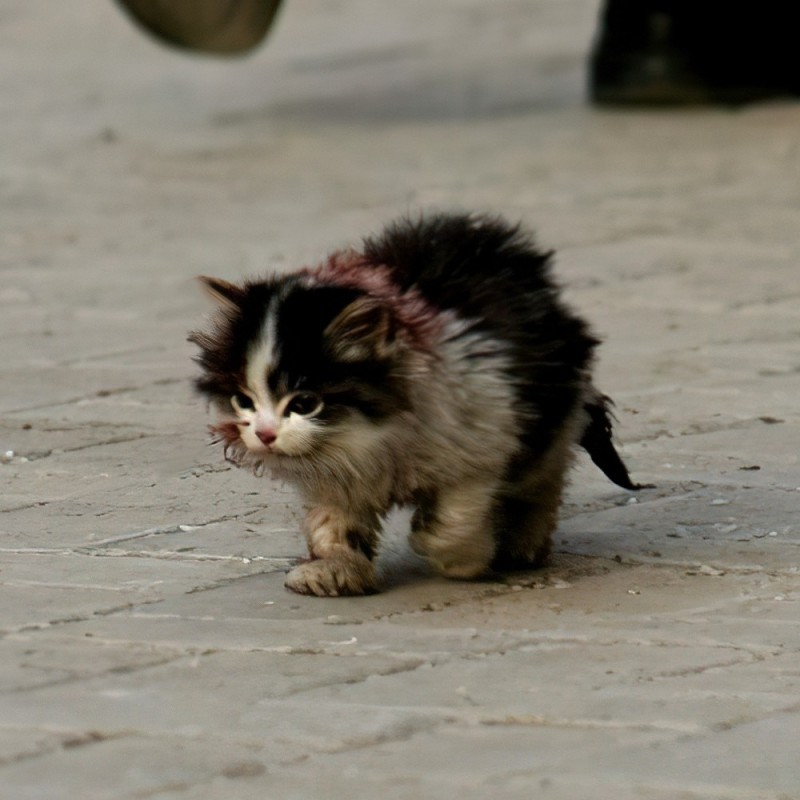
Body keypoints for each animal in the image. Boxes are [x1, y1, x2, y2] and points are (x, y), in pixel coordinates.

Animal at [189, 211, 644, 592]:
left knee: (540, 481)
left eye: (304, 404)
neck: (373, 436)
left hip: (547, 413)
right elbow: (333, 522)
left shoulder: (481, 438)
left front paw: (463, 559)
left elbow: (454, 519)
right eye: (243, 401)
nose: (265, 434)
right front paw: (335, 570)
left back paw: (522, 546)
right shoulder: (336, 474)